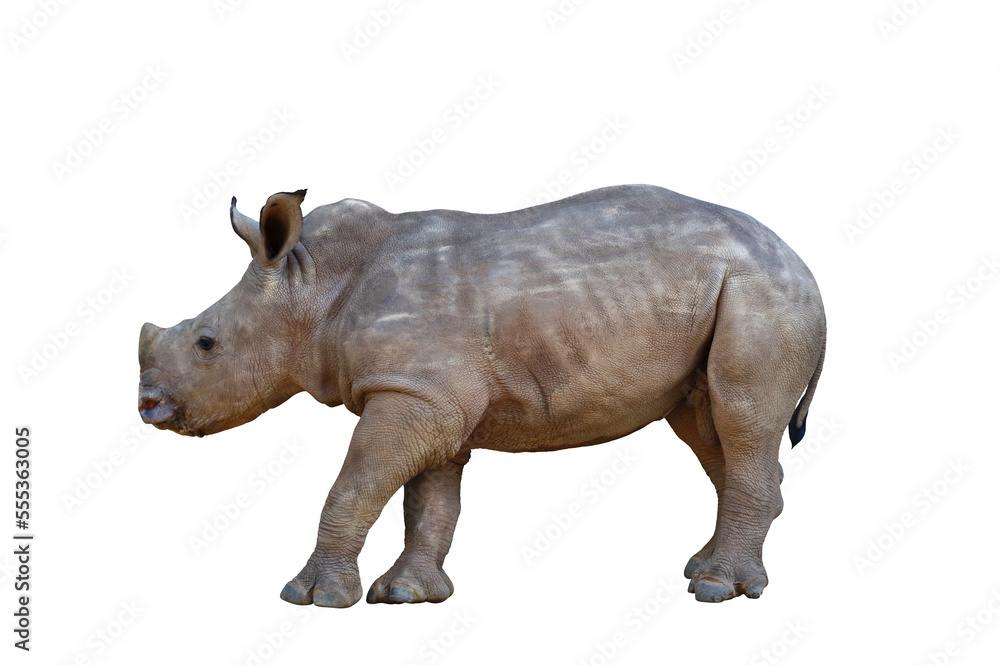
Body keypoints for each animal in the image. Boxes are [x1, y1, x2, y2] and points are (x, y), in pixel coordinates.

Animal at [137, 184, 825, 606]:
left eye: (206, 343)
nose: (147, 407)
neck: (312, 284)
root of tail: (803, 264)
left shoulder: (415, 393)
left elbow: (354, 486)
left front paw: (314, 598)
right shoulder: (430, 398)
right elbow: (429, 503)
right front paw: (407, 596)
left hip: (763, 294)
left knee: (741, 419)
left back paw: (716, 590)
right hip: (736, 294)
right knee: (710, 430)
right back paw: (705, 568)